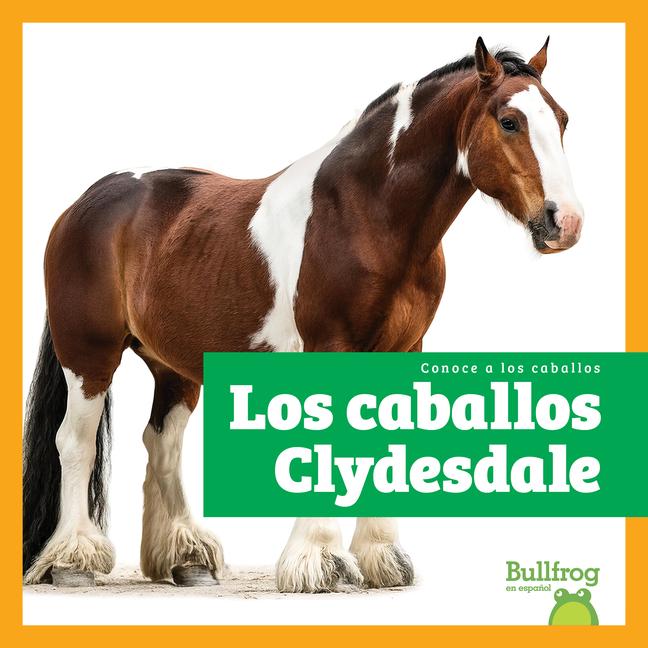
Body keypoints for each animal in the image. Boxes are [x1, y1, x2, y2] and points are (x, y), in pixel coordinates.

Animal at [23, 37, 583, 592]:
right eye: (509, 121)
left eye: (561, 118)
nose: (566, 222)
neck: (366, 213)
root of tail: (86, 202)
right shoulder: (328, 345)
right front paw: (319, 561)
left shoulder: (402, 349)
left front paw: (381, 558)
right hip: (89, 355)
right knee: (74, 442)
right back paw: (74, 560)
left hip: (173, 366)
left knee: (163, 445)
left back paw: (187, 558)